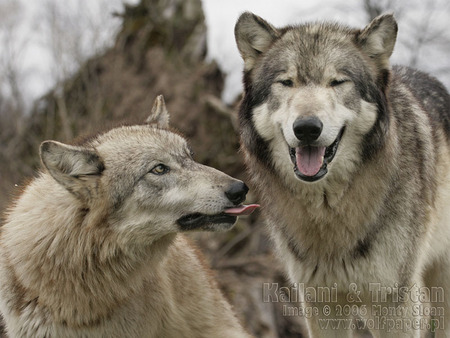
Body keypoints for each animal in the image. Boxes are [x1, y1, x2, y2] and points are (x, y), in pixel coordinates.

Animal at [234, 11, 450, 336]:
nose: (307, 128)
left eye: (337, 82)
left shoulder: (394, 303)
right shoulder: (321, 302)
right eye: (286, 82)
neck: (330, 211)